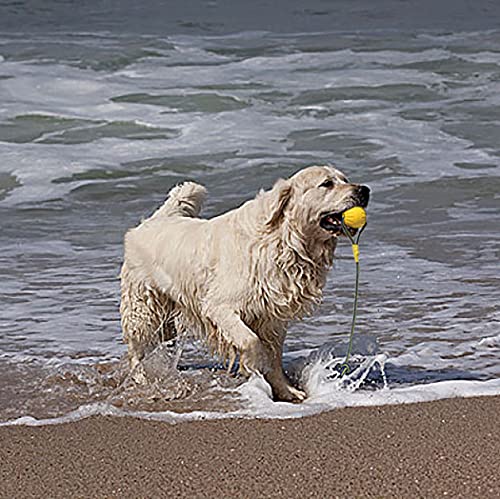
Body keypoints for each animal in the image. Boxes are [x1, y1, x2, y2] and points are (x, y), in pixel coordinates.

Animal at [119, 167, 370, 402]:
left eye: (345, 179)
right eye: (327, 184)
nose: (364, 190)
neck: (285, 239)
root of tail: (153, 220)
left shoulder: (272, 318)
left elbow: (274, 357)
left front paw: (286, 390)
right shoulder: (219, 307)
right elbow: (251, 341)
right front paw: (252, 368)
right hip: (143, 308)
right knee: (136, 346)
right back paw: (140, 377)